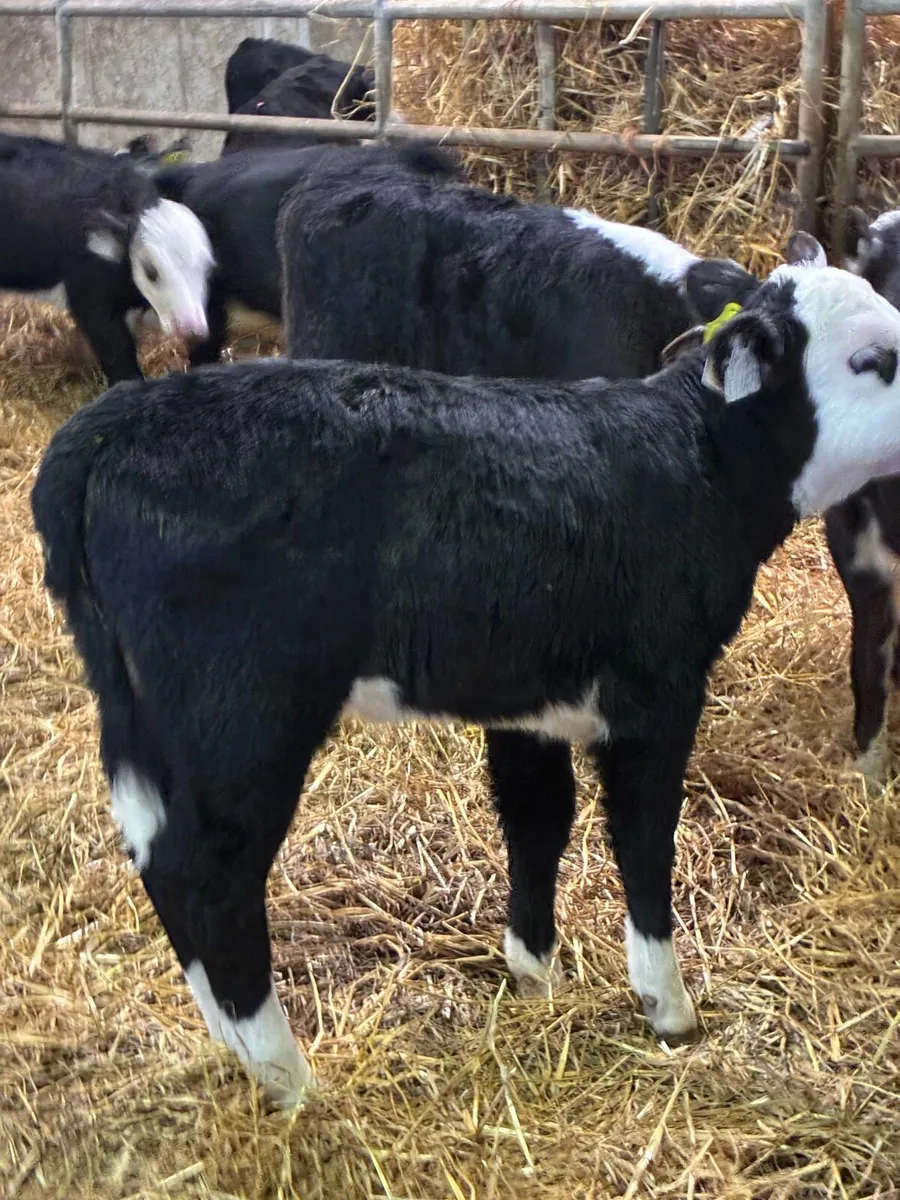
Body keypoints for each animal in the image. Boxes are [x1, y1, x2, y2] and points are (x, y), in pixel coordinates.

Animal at [32, 243, 900, 1108]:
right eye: (871, 361)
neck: (701, 460)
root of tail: (109, 426)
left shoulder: (530, 699)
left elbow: (537, 820)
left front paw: (535, 975)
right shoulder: (657, 692)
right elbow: (644, 839)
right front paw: (667, 1004)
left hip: (149, 715)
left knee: (158, 858)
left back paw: (233, 1044)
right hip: (244, 716)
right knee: (207, 872)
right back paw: (287, 1077)